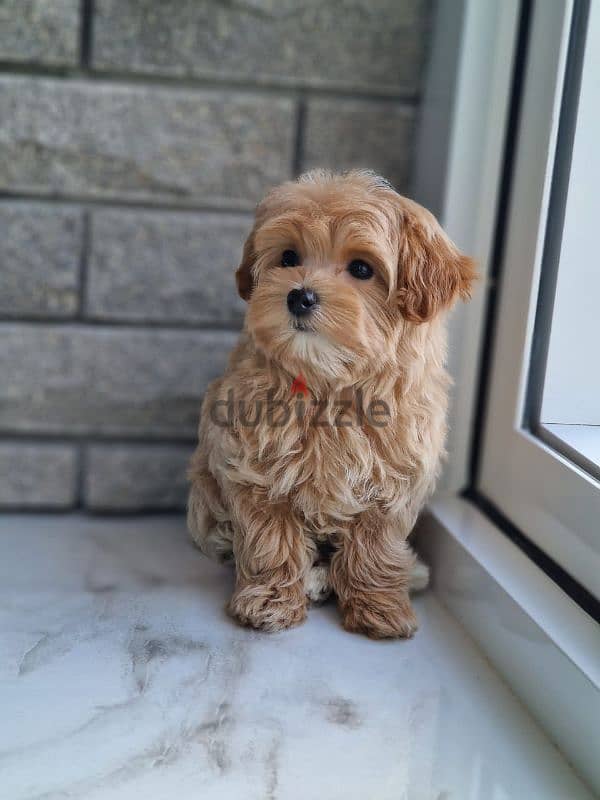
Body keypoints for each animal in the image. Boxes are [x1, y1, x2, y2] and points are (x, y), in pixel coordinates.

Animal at [188, 169, 474, 636]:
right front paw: (269, 600)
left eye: (361, 268)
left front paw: (380, 606)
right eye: (289, 257)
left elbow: (377, 545)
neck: (330, 382)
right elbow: (270, 538)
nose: (299, 296)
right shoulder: (251, 465)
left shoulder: (396, 477)